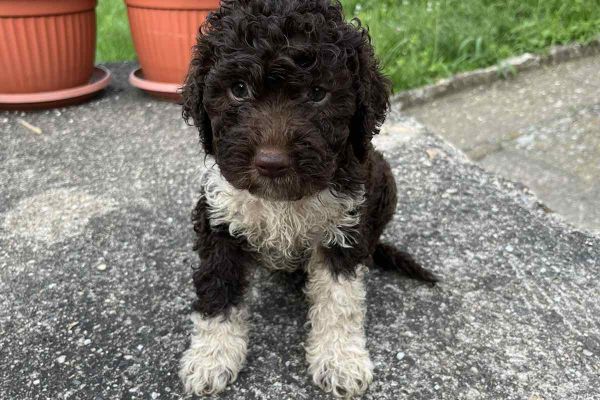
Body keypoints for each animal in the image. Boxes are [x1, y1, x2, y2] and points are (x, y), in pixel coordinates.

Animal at [178, 0, 436, 396]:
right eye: (239, 89)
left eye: (318, 94)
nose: (271, 163)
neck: (282, 201)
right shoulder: (218, 217)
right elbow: (218, 287)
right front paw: (212, 358)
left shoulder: (345, 226)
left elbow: (338, 299)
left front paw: (340, 360)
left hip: (384, 181)